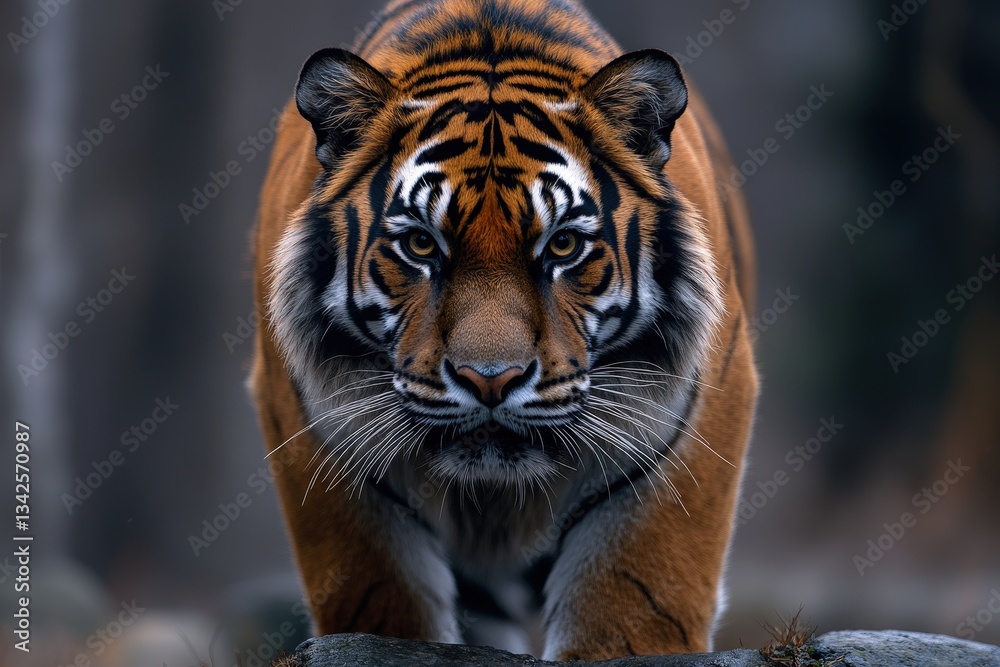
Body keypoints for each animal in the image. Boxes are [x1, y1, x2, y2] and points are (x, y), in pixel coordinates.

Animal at [249, 0, 758, 659]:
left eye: (563, 245)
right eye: (420, 244)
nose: (490, 379)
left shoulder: (696, 411)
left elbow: (633, 596)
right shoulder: (308, 419)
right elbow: (382, 592)